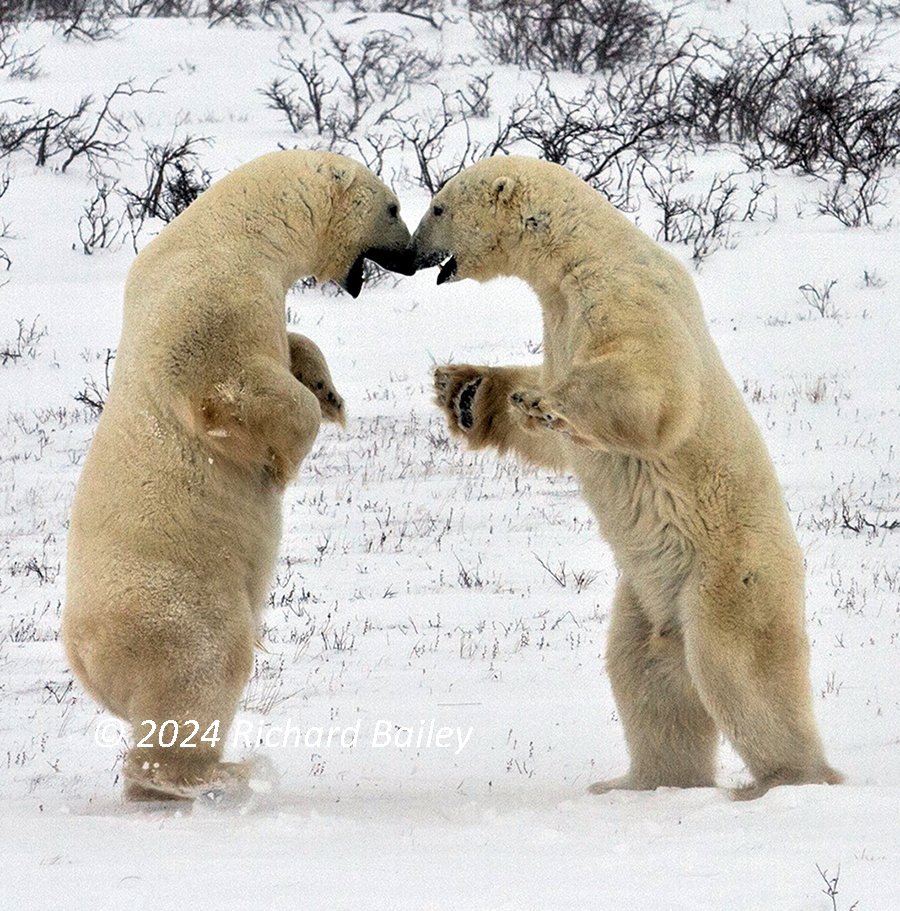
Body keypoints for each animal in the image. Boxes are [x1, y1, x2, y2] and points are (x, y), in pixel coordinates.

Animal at [63, 150, 414, 801]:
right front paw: (287, 453)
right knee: (204, 666)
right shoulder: (212, 298)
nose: (412, 254)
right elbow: (233, 384)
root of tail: (85, 656)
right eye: (394, 207)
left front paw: (326, 389)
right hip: (174, 602)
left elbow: (293, 345)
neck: (234, 230)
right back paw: (214, 774)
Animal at [411, 155, 842, 800]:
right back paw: (638, 782)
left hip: (729, 575)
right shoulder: (561, 314)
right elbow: (556, 439)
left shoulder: (620, 292)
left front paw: (541, 400)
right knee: (644, 672)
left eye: (438, 206)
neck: (580, 251)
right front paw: (466, 390)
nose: (412, 251)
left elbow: (651, 387)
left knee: (738, 668)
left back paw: (786, 779)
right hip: (646, 594)